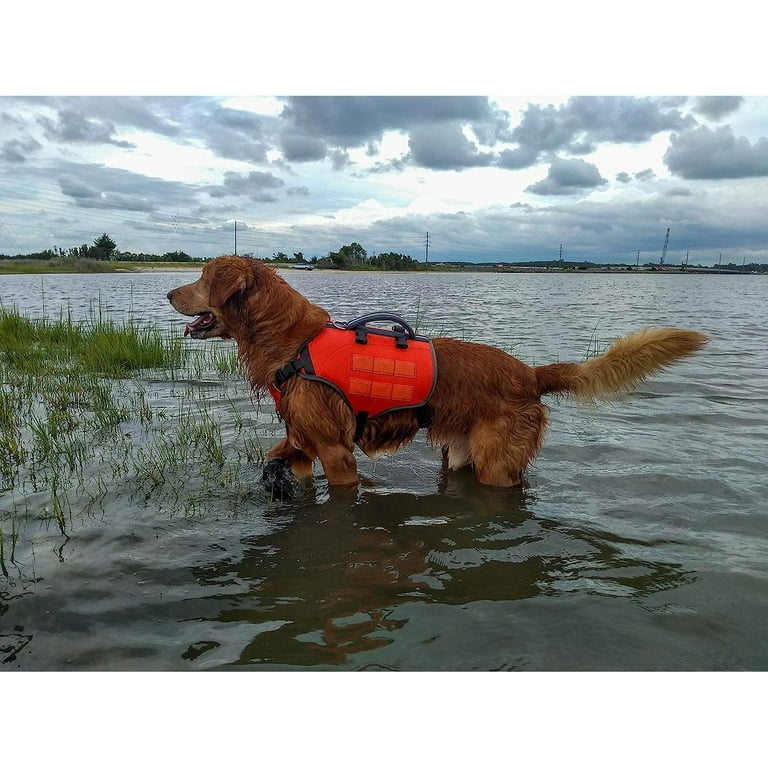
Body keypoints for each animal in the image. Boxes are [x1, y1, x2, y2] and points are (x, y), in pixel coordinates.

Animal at [170, 255, 708, 500]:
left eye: (201, 278)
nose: (169, 293)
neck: (293, 344)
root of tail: (531, 374)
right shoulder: (303, 443)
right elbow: (277, 457)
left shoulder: (337, 452)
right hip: (462, 454)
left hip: (495, 463)